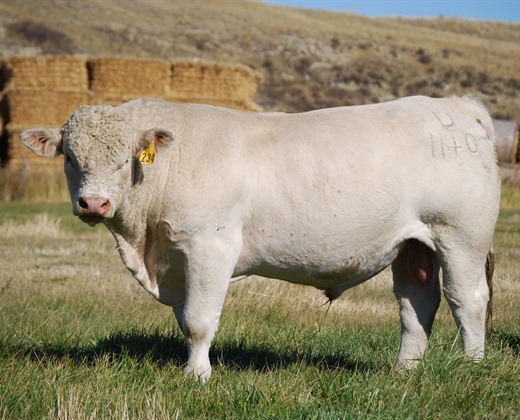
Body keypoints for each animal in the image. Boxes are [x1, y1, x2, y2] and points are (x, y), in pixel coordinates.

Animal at [19, 95, 500, 380]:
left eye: (123, 160)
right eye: (70, 158)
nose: (93, 204)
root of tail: (455, 105)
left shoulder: (210, 247)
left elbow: (198, 319)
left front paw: (197, 376)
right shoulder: (178, 260)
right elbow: (185, 319)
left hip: (460, 235)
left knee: (467, 299)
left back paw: (471, 366)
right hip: (413, 244)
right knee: (416, 303)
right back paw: (405, 371)